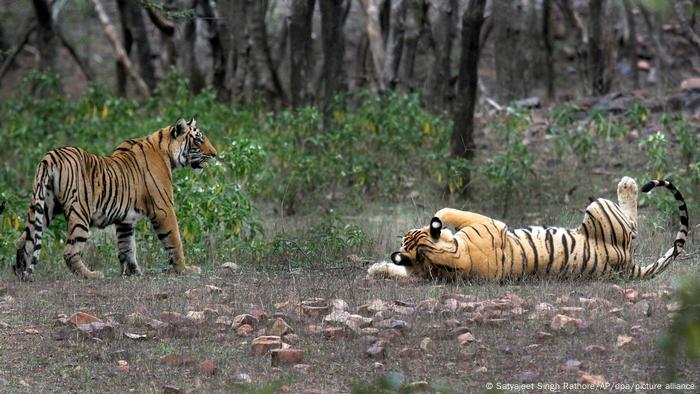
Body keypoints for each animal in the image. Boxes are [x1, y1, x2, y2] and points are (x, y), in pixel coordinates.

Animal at [372, 177, 688, 282]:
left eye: (406, 236)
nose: (404, 233)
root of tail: (629, 264)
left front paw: (376, 269)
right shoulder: (488, 223)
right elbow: (446, 213)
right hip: (599, 207)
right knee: (633, 226)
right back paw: (628, 184)